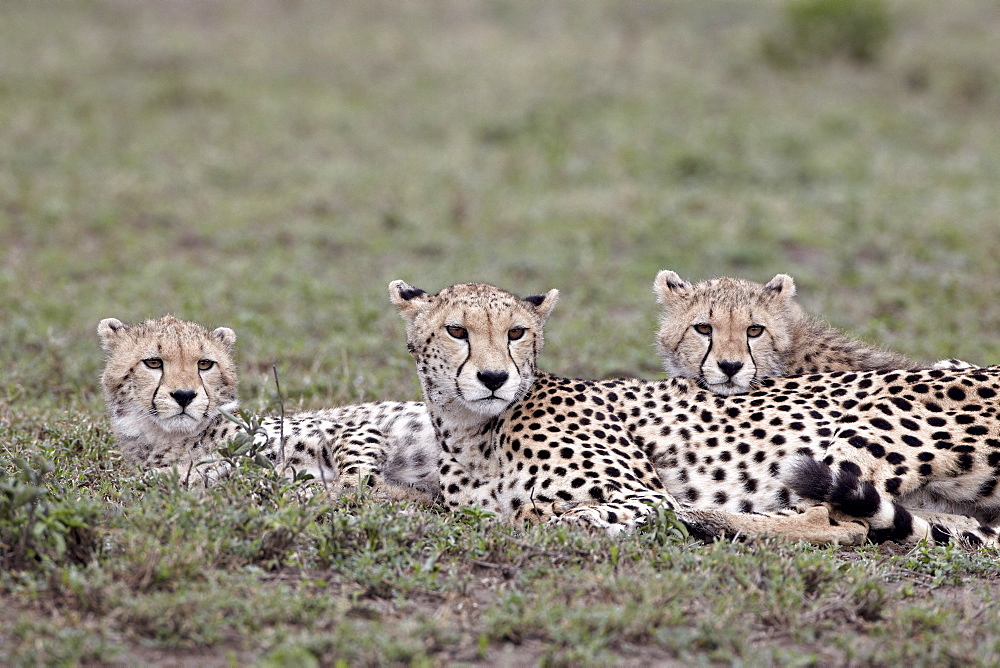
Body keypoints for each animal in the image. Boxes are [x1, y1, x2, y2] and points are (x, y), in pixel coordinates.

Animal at [388, 278, 1000, 548]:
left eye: (516, 333)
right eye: (457, 331)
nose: (494, 378)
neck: (473, 434)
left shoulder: (642, 494)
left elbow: (562, 517)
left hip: (862, 428)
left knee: (837, 522)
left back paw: (704, 519)